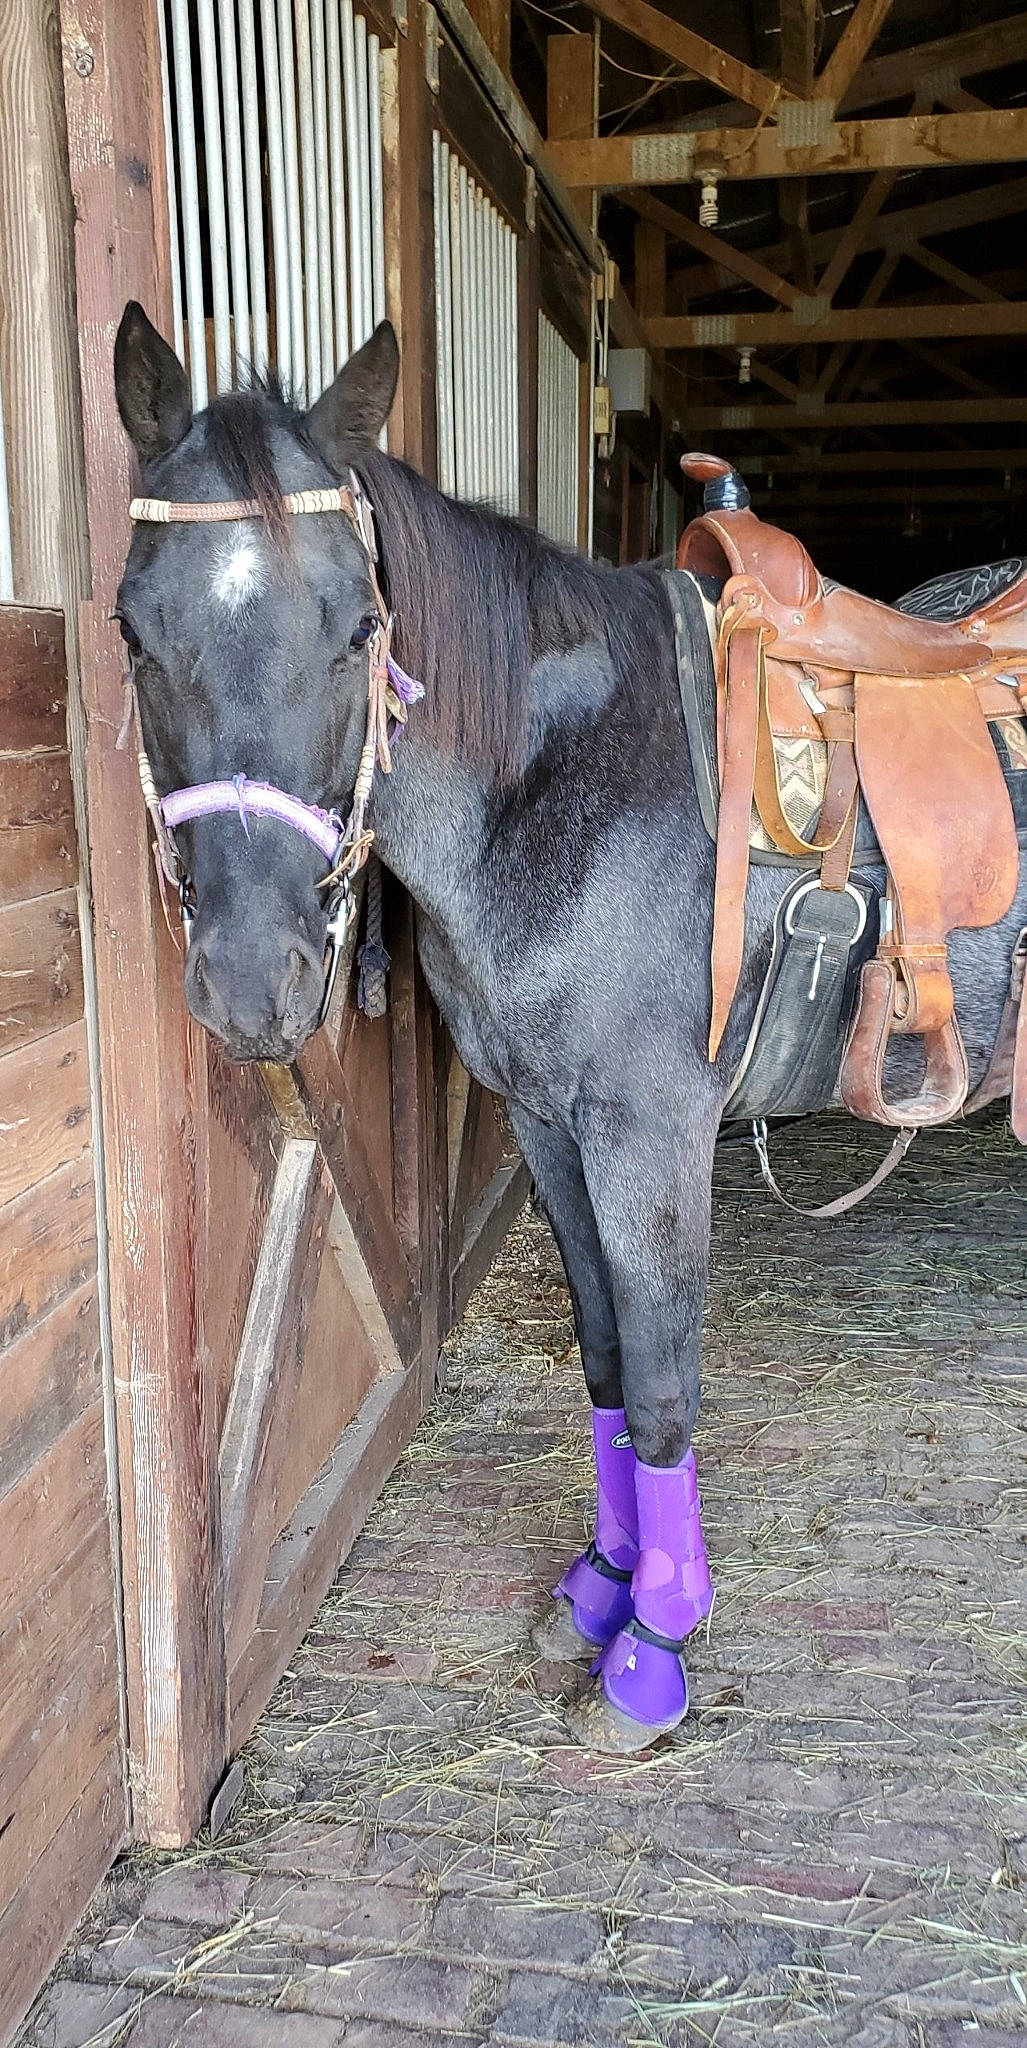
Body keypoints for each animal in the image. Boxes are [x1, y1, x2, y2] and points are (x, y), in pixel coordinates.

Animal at [112, 303, 1026, 1754]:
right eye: (134, 633)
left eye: (358, 629)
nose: (255, 983)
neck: (559, 780)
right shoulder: (546, 1123)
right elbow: (600, 1355)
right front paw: (598, 1587)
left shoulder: (649, 1135)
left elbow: (657, 1384)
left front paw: (652, 1651)